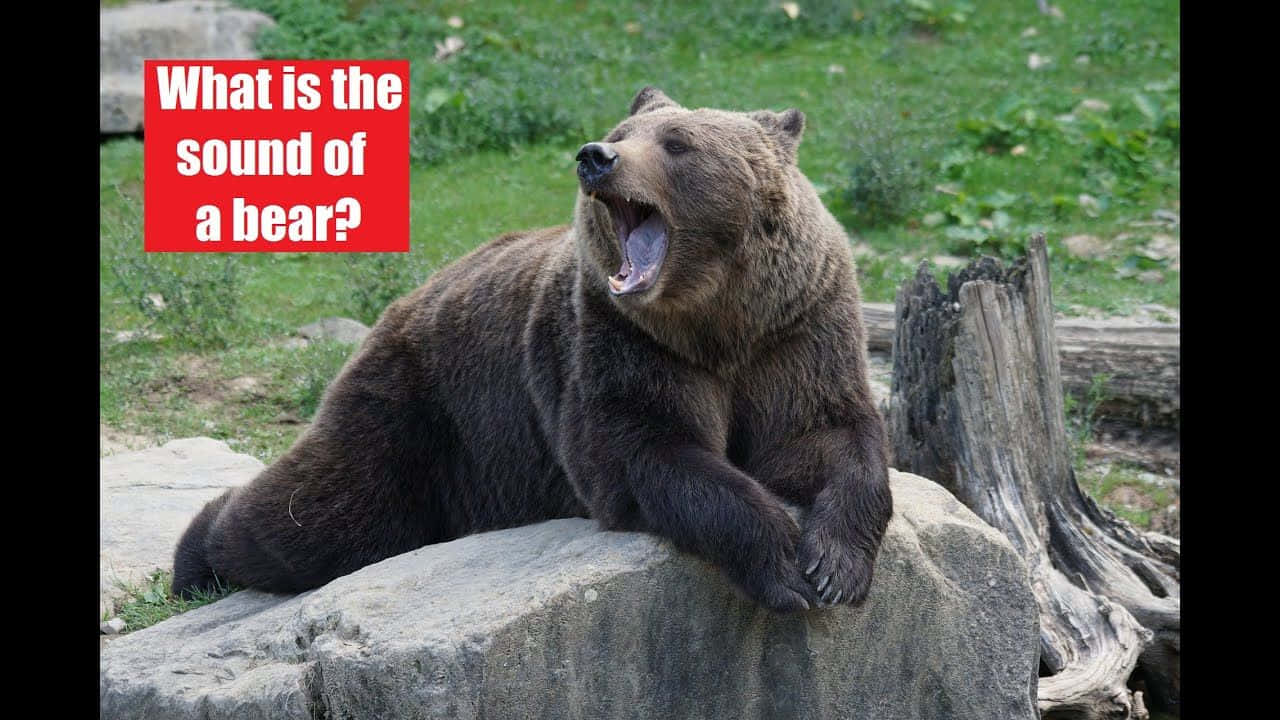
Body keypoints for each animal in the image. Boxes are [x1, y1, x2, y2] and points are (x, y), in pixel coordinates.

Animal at [173, 87, 892, 612]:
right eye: (623, 133)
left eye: (678, 143)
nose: (595, 156)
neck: (715, 319)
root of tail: (405, 301)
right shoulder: (618, 343)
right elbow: (651, 451)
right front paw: (784, 567)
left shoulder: (796, 328)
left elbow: (826, 435)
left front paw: (834, 567)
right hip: (424, 411)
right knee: (327, 516)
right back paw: (196, 557)